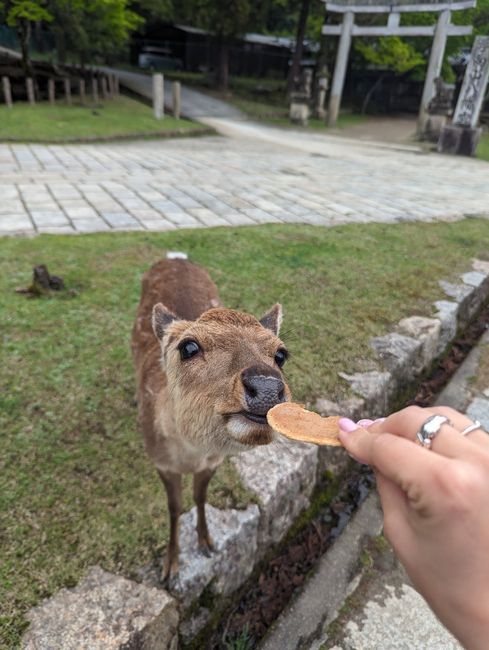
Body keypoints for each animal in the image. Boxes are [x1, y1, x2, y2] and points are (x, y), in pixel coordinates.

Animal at [131, 253, 290, 584]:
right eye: (188, 346)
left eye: (281, 354)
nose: (267, 387)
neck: (191, 455)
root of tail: (175, 255)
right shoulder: (160, 461)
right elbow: (174, 507)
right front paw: (170, 567)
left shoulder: (214, 461)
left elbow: (200, 497)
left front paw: (207, 543)